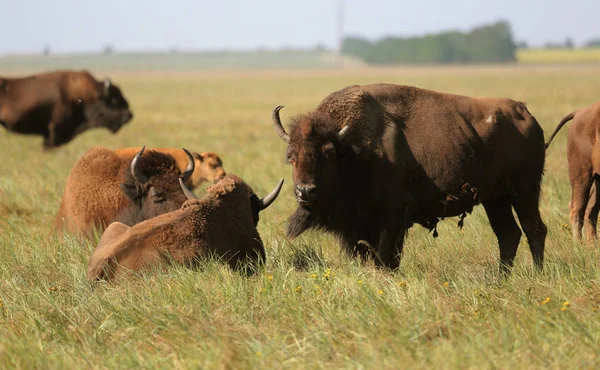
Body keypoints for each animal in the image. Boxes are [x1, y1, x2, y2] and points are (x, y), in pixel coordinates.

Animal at [272, 84, 548, 274]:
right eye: (291, 156)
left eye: (329, 154)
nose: (305, 191)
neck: (353, 149)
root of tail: (525, 113)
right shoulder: (358, 227)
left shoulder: (391, 218)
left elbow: (385, 257)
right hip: (495, 199)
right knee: (508, 234)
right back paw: (501, 278)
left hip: (524, 190)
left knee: (534, 229)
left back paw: (536, 275)